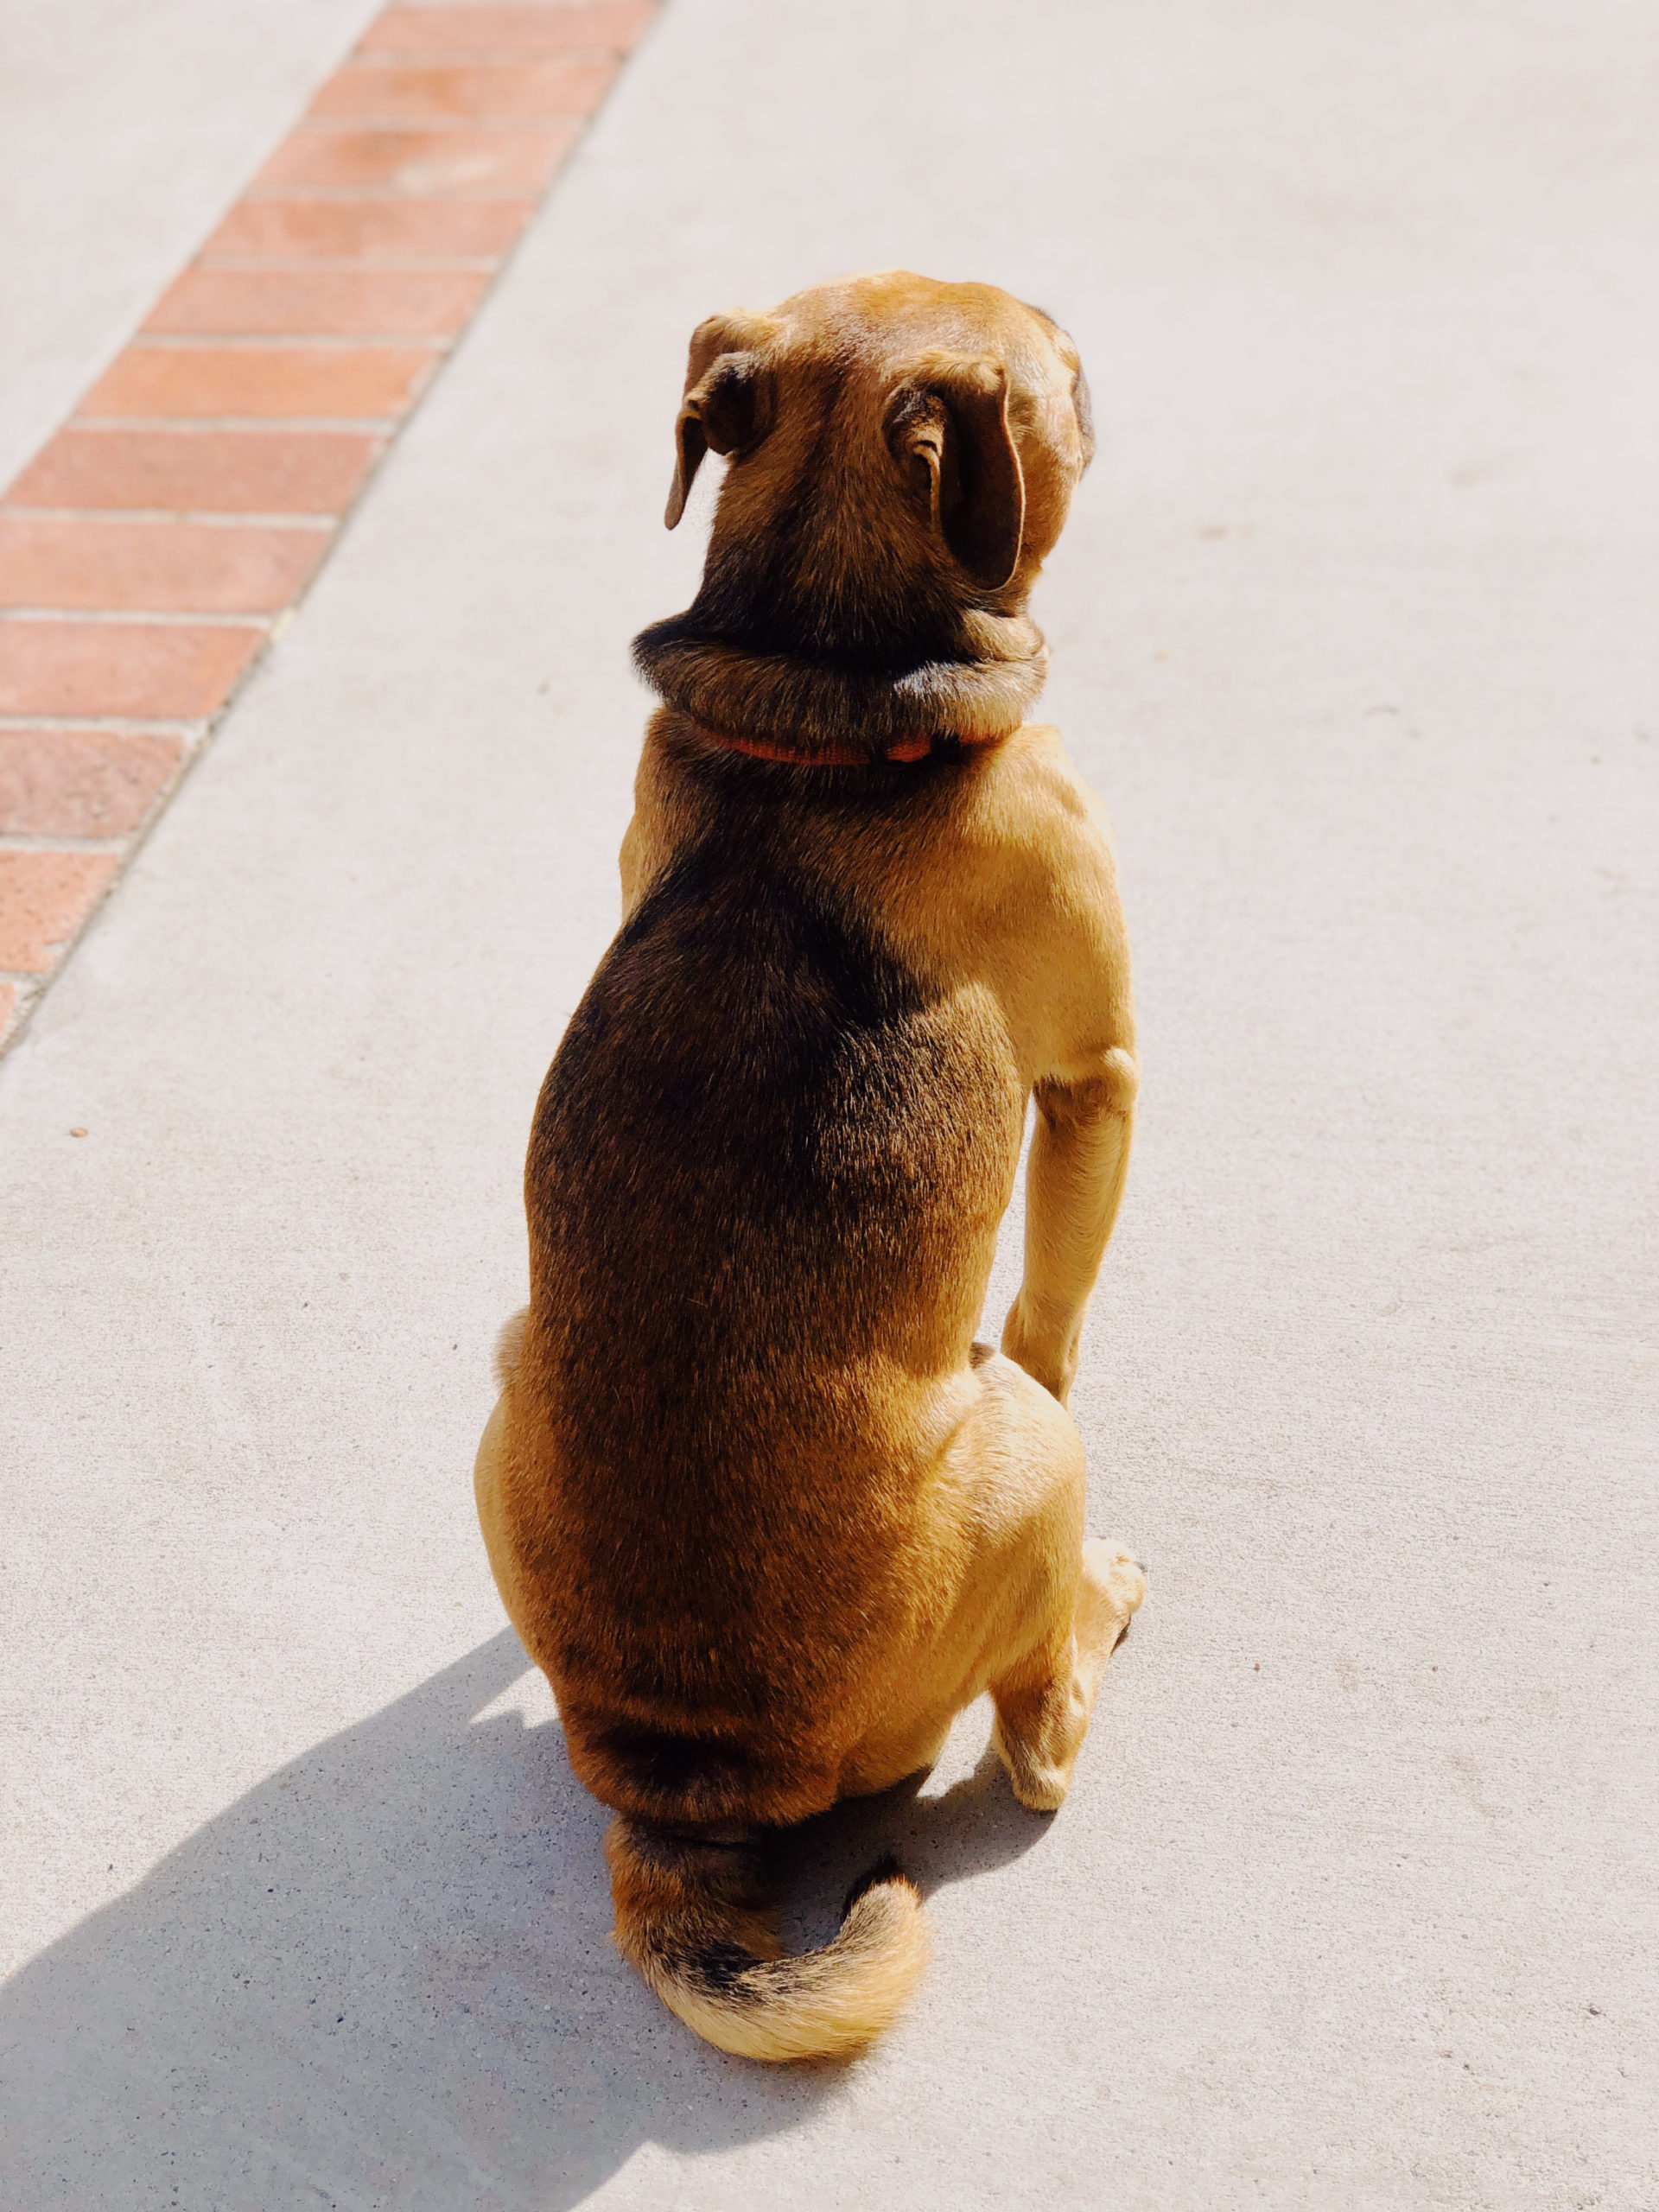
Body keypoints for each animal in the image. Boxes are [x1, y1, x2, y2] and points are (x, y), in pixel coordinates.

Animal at [473, 267, 1150, 2061]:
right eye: (1058, 366)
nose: (1095, 345)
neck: (824, 694)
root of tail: (692, 1783)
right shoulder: (1101, 1084)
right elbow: (1053, 1314)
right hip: (1030, 1474)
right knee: (1041, 1745)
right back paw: (1103, 1596)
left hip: (503, 1380)